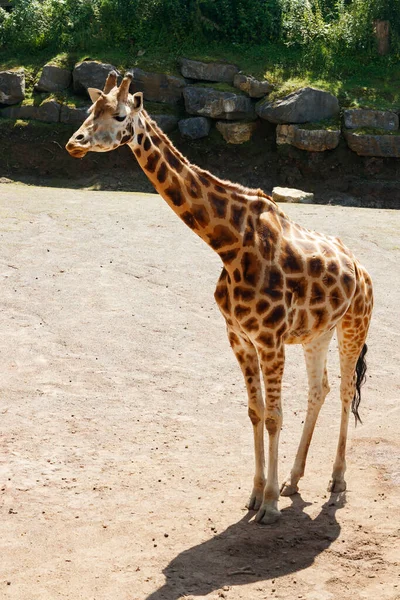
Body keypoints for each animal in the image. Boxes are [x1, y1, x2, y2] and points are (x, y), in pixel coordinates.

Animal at [64, 71, 374, 524]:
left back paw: (336, 483)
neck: (228, 245)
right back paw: (294, 480)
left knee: (348, 391)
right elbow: (255, 412)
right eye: (90, 110)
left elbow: (274, 417)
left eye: (119, 115)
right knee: (321, 389)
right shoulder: (239, 338)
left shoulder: (269, 341)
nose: (76, 142)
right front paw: (256, 494)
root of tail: (361, 270)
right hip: (317, 333)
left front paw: (269, 507)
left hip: (354, 326)